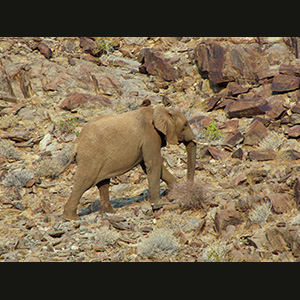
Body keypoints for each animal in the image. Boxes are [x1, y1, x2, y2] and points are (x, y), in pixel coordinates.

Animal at [61, 105, 197, 220]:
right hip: (91, 158)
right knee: (85, 182)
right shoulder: (150, 136)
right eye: (185, 124)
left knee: (103, 183)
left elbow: (152, 166)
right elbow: (153, 164)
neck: (162, 111)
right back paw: (71, 218)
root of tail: (76, 144)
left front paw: (175, 193)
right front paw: (159, 204)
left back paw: (109, 213)